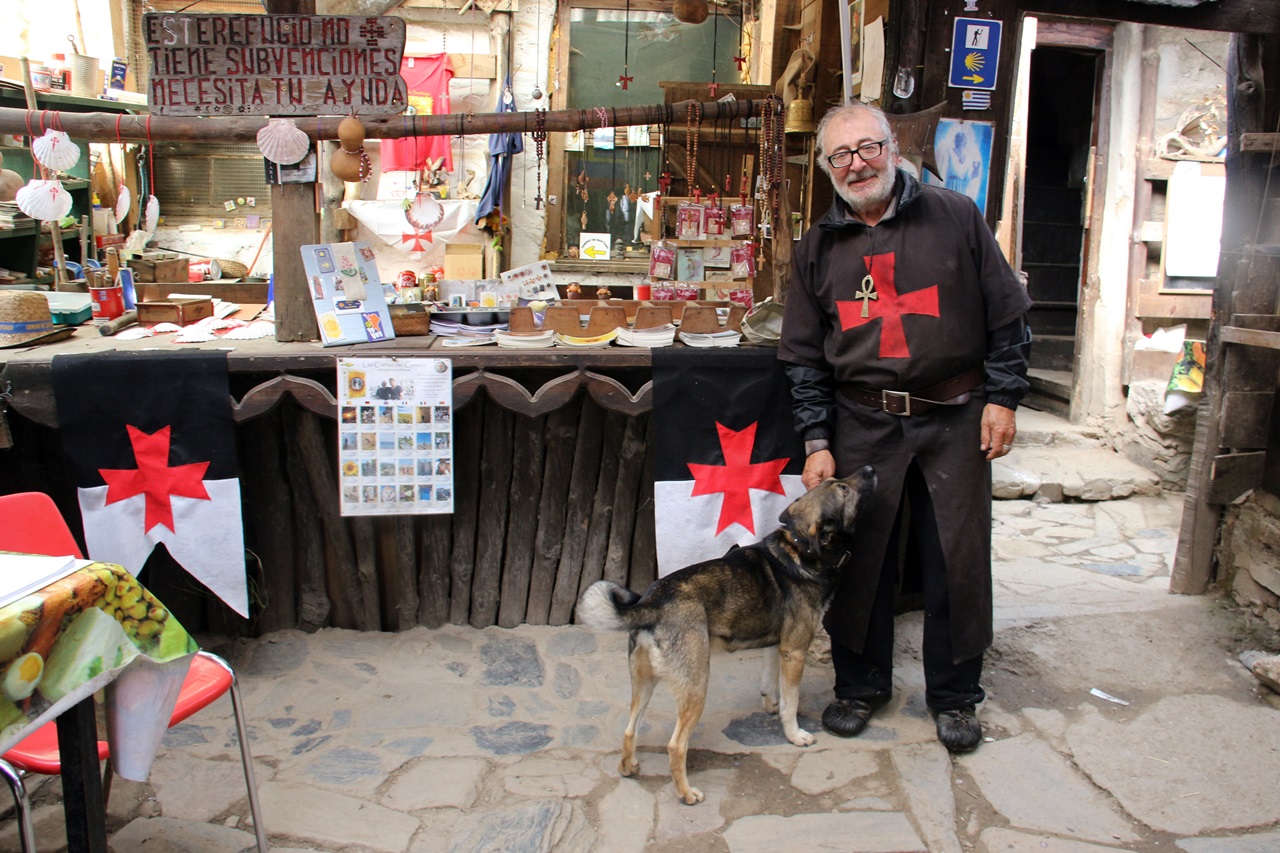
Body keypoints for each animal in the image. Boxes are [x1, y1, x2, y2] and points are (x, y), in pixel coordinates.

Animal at [576, 466, 875, 804]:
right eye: (843, 490)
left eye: (837, 482)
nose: (869, 469)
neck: (800, 548)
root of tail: (652, 604)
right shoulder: (796, 651)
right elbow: (792, 702)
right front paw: (794, 734)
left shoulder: (777, 646)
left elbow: (770, 685)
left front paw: (771, 706)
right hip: (696, 686)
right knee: (675, 745)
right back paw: (687, 793)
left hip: (645, 682)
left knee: (630, 730)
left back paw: (629, 767)